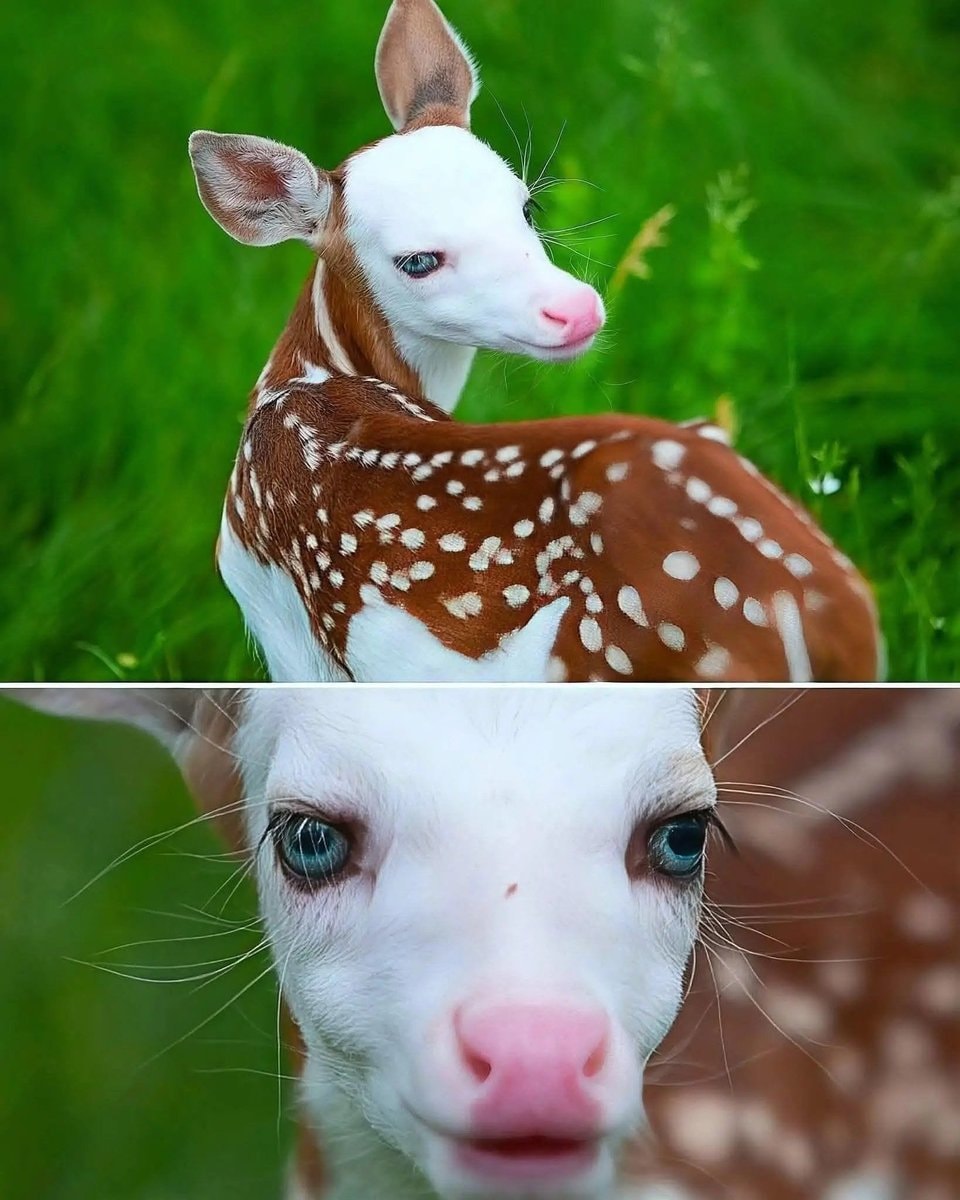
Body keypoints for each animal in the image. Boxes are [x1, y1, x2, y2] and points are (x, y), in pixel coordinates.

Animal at [187, 0, 881, 685]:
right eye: (418, 260)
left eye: (526, 208)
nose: (576, 310)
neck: (303, 382)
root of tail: (838, 626)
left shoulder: (285, 630)